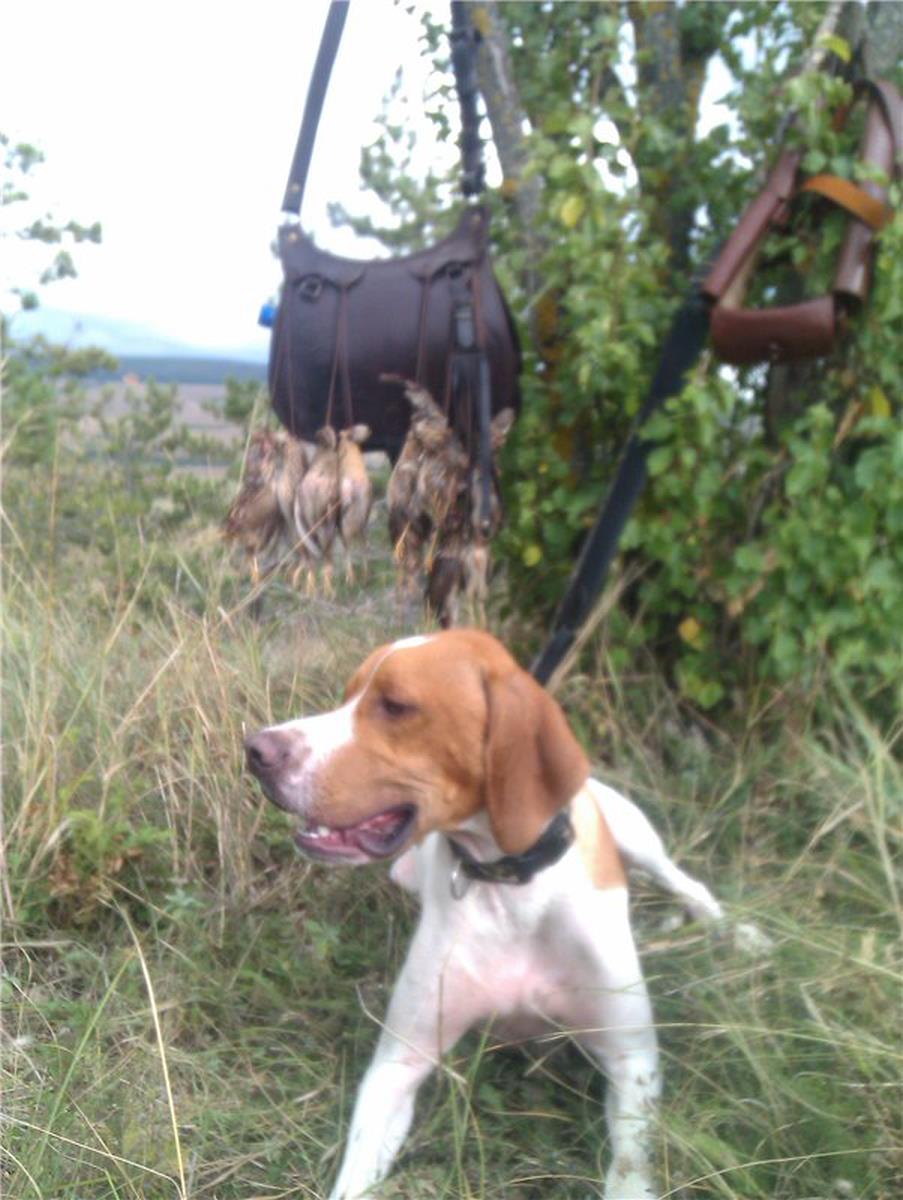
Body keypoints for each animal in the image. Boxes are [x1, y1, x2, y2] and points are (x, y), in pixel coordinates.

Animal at [245, 630, 725, 1199]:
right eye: (347, 695)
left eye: (395, 705)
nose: (256, 749)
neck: (510, 887)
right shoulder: (397, 1064)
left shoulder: (634, 1063)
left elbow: (629, 1176)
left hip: (635, 836)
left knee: (687, 883)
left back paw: (741, 934)